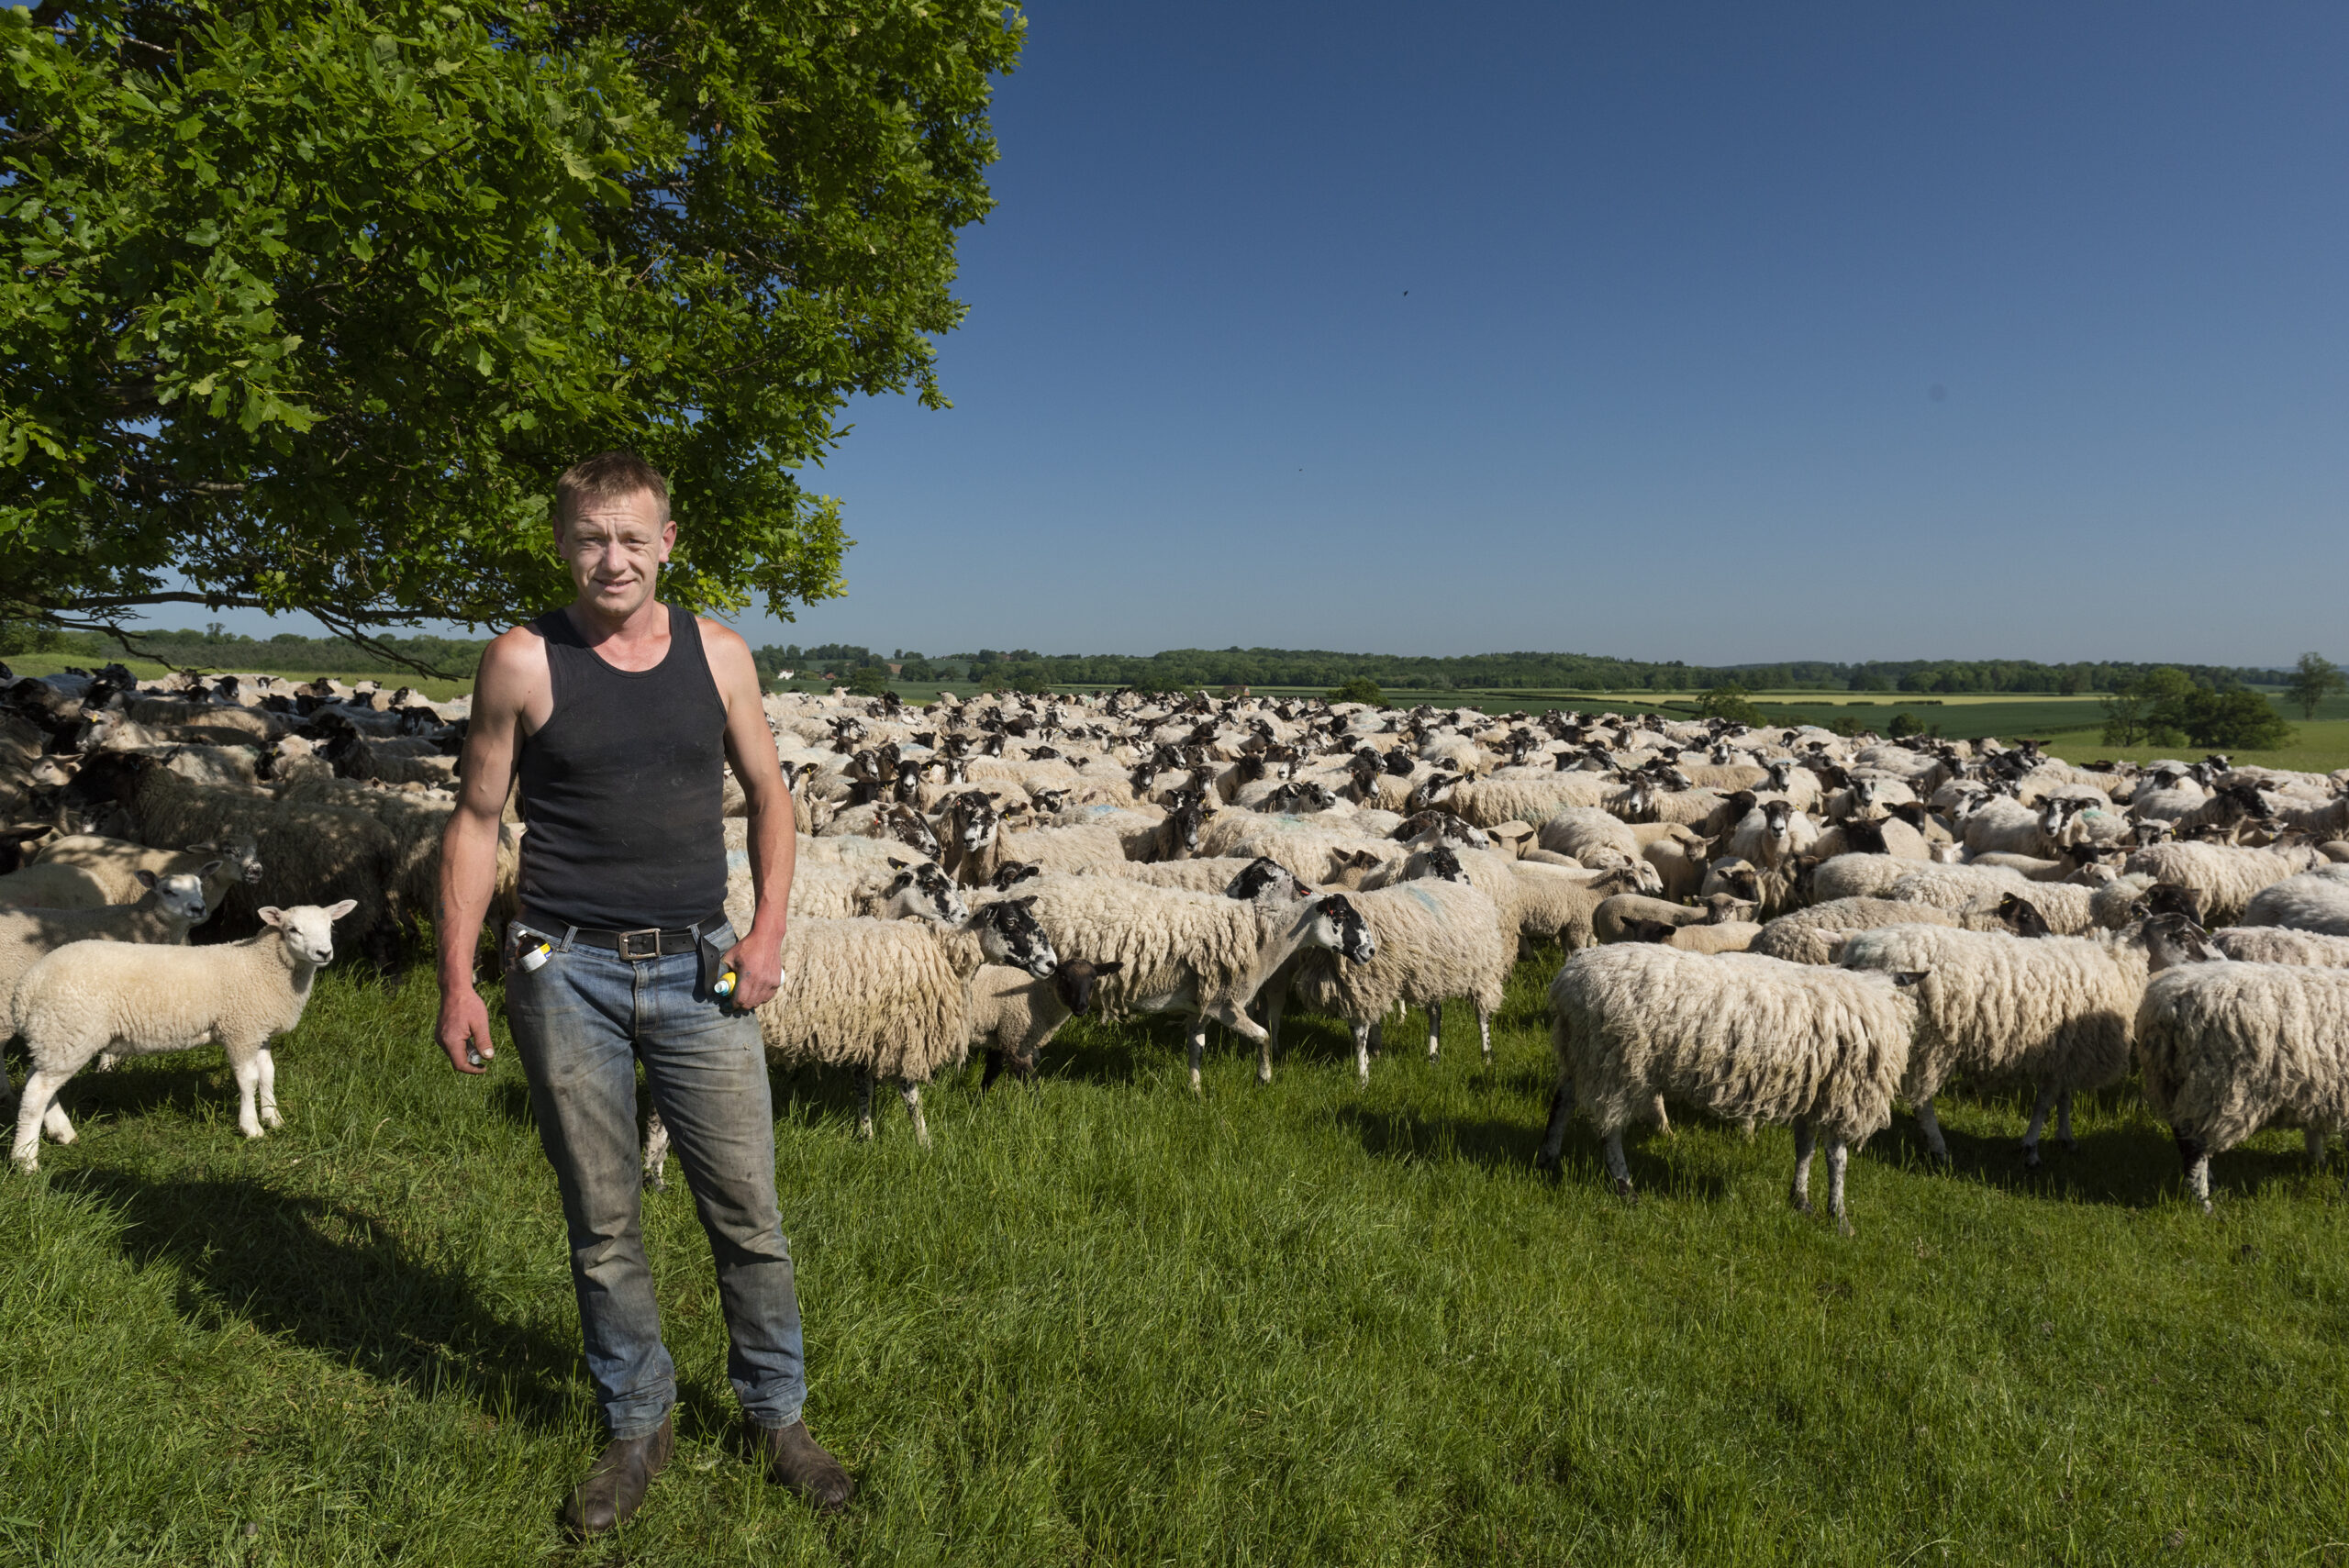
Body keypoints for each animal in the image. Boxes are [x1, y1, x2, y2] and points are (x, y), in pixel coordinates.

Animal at [10, 902, 358, 1173]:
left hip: (54, 1036)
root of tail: (27, 986)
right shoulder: (240, 1029)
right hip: (71, 1030)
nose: (324, 953)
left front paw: (274, 1118)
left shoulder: (260, 1031)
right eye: (292, 929)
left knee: (36, 1080)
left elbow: (268, 1075)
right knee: (37, 1092)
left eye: (331, 926)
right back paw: (26, 1160)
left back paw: (61, 1133)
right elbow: (248, 1080)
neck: (264, 965)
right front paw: (251, 1127)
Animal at [1264, 878, 1512, 1084]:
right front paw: (1374, 1053)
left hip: (1483, 971)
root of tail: (1469, 890)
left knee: (1482, 1015)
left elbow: (1359, 1035)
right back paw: (1433, 1055)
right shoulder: (1355, 991)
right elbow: (1361, 1028)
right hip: (1433, 973)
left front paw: (1362, 1077)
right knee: (1435, 1013)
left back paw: (1486, 1055)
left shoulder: (1364, 985)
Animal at [1536, 944, 1925, 1230]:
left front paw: (1800, 1200)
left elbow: (1805, 1149)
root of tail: (1567, 979)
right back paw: (1624, 1186)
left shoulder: (1811, 1092)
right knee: (1610, 1129)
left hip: (1581, 1051)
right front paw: (1839, 1217)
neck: (1877, 995)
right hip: (1616, 1062)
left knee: (1562, 1100)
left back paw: (1548, 1158)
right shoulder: (1842, 1095)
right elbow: (1837, 1158)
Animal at [1837, 922, 2158, 1166]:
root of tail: (1865, 948)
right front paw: (2031, 1149)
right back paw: (1939, 1148)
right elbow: (2044, 1103)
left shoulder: (2064, 1052)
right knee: (1922, 1102)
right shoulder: (2060, 1052)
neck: (2116, 964)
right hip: (1929, 1044)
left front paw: (2065, 1138)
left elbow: (2062, 1097)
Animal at [2135, 959, 2349, 1212]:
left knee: (2182, 1134)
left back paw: (2211, 1187)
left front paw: (2317, 1163)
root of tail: (2169, 1003)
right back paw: (2203, 1203)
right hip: (2214, 1085)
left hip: (2172, 1084)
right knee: (2194, 1146)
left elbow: (2314, 1132)